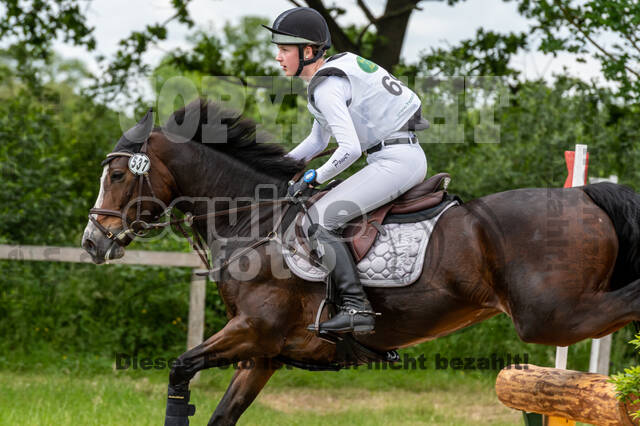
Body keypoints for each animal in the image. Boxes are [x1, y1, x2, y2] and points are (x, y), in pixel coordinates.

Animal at [82, 99, 640, 426]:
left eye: (117, 175)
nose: (92, 242)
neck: (253, 221)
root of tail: (585, 195)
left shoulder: (253, 331)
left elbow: (179, 370)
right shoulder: (262, 354)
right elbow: (220, 414)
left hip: (550, 316)